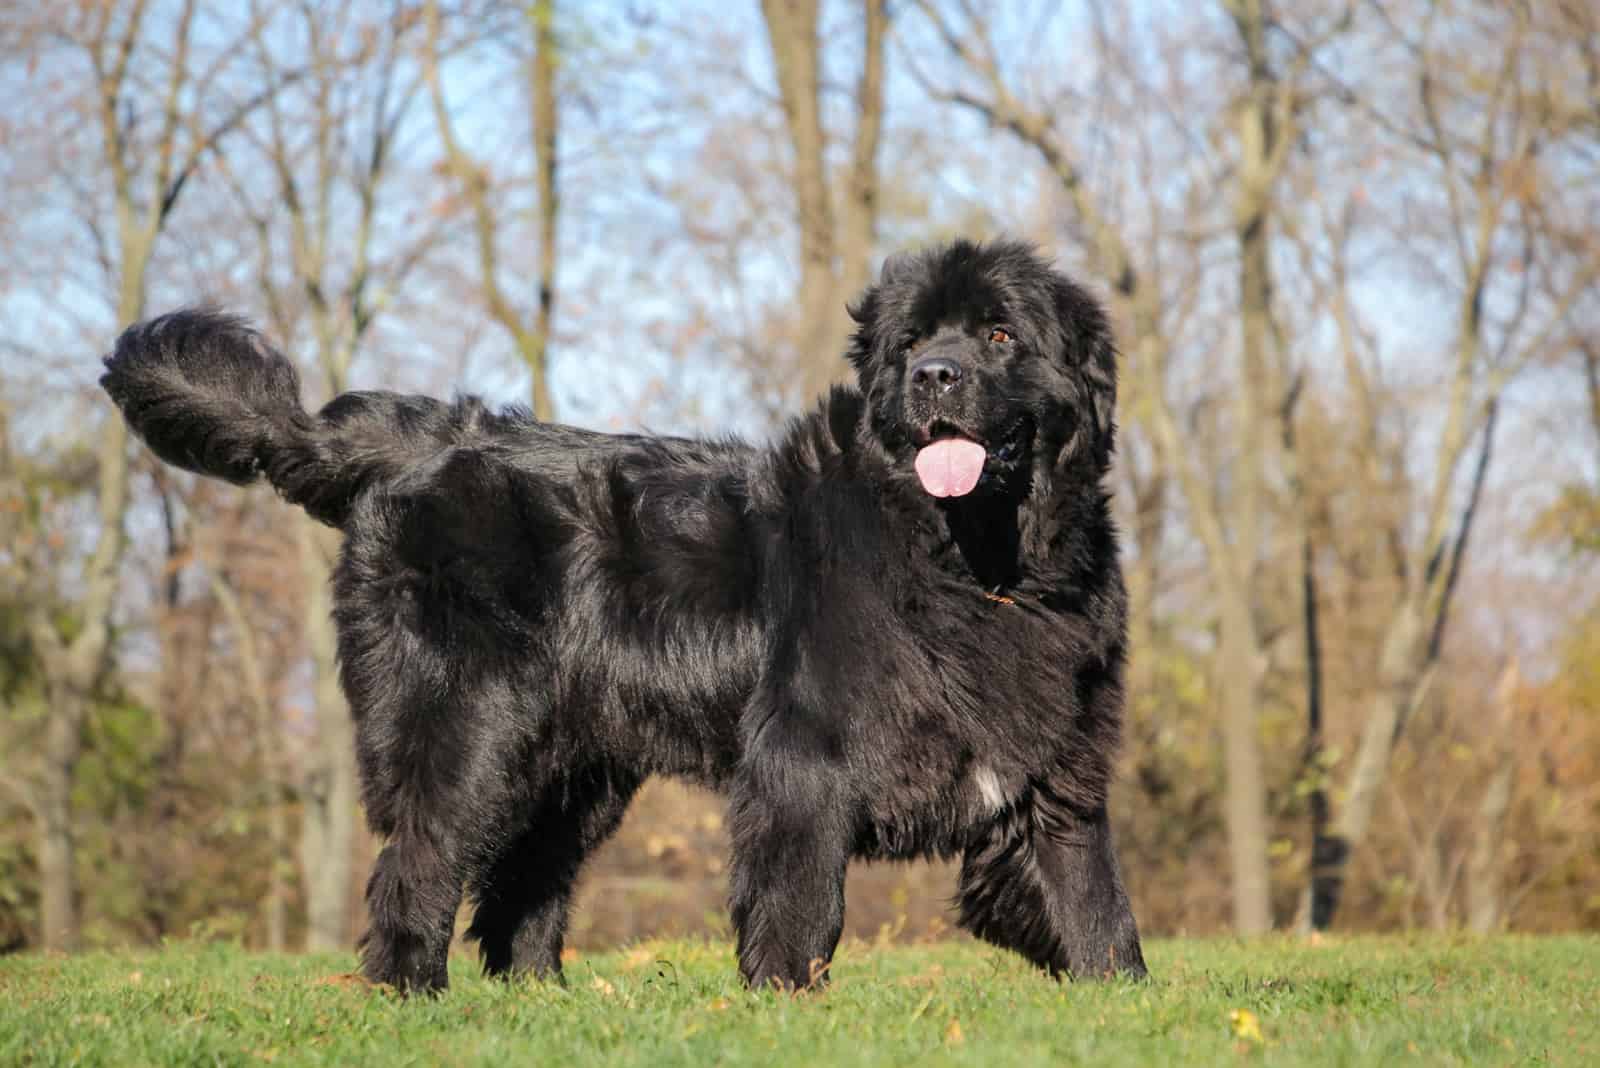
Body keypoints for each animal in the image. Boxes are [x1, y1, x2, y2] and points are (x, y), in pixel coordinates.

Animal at [100, 238, 1145, 991]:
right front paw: (786, 1004)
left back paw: (543, 1003)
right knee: (421, 858)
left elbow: (1094, 896)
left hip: (575, 769)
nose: (934, 376)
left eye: (1001, 336)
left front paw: (1118, 998)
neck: (976, 564)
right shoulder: (803, 755)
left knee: (522, 889)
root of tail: (415, 442)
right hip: (469, 722)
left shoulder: (1058, 759)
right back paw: (409, 996)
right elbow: (800, 897)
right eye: (913, 343)